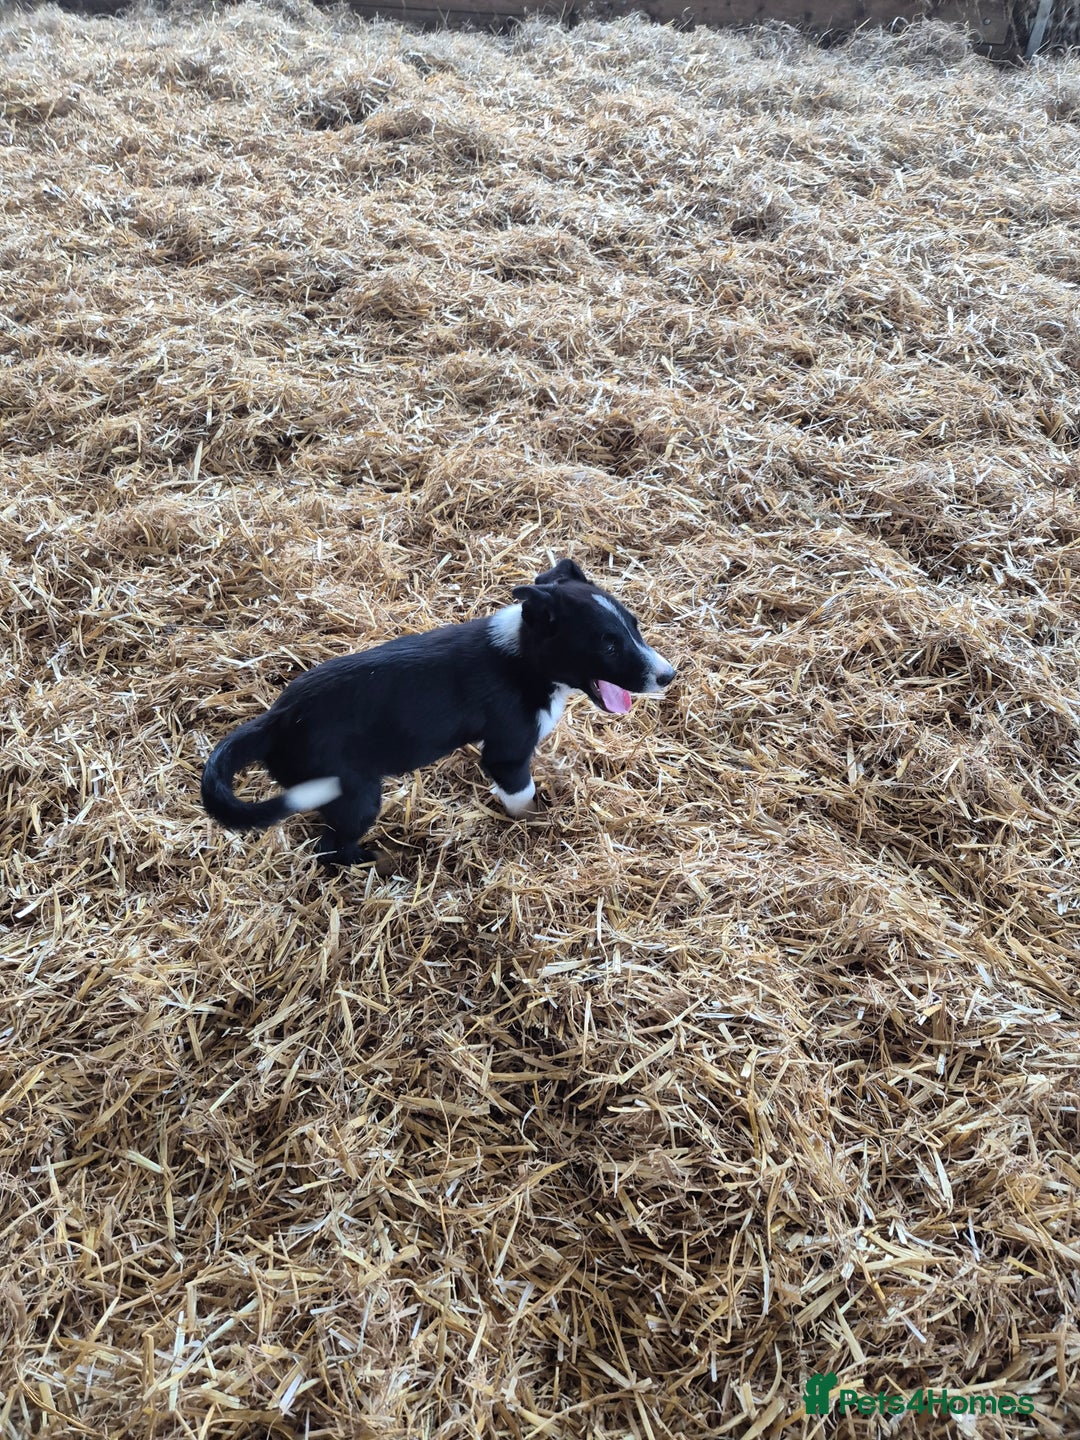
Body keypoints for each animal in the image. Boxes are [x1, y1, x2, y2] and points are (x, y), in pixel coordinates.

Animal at [201, 558, 675, 867]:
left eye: (634, 627)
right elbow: (522, 796)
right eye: (608, 644)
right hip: (355, 793)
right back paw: (376, 862)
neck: (525, 658)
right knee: (331, 848)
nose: (669, 676)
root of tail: (278, 718)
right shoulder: (506, 753)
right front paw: (534, 827)